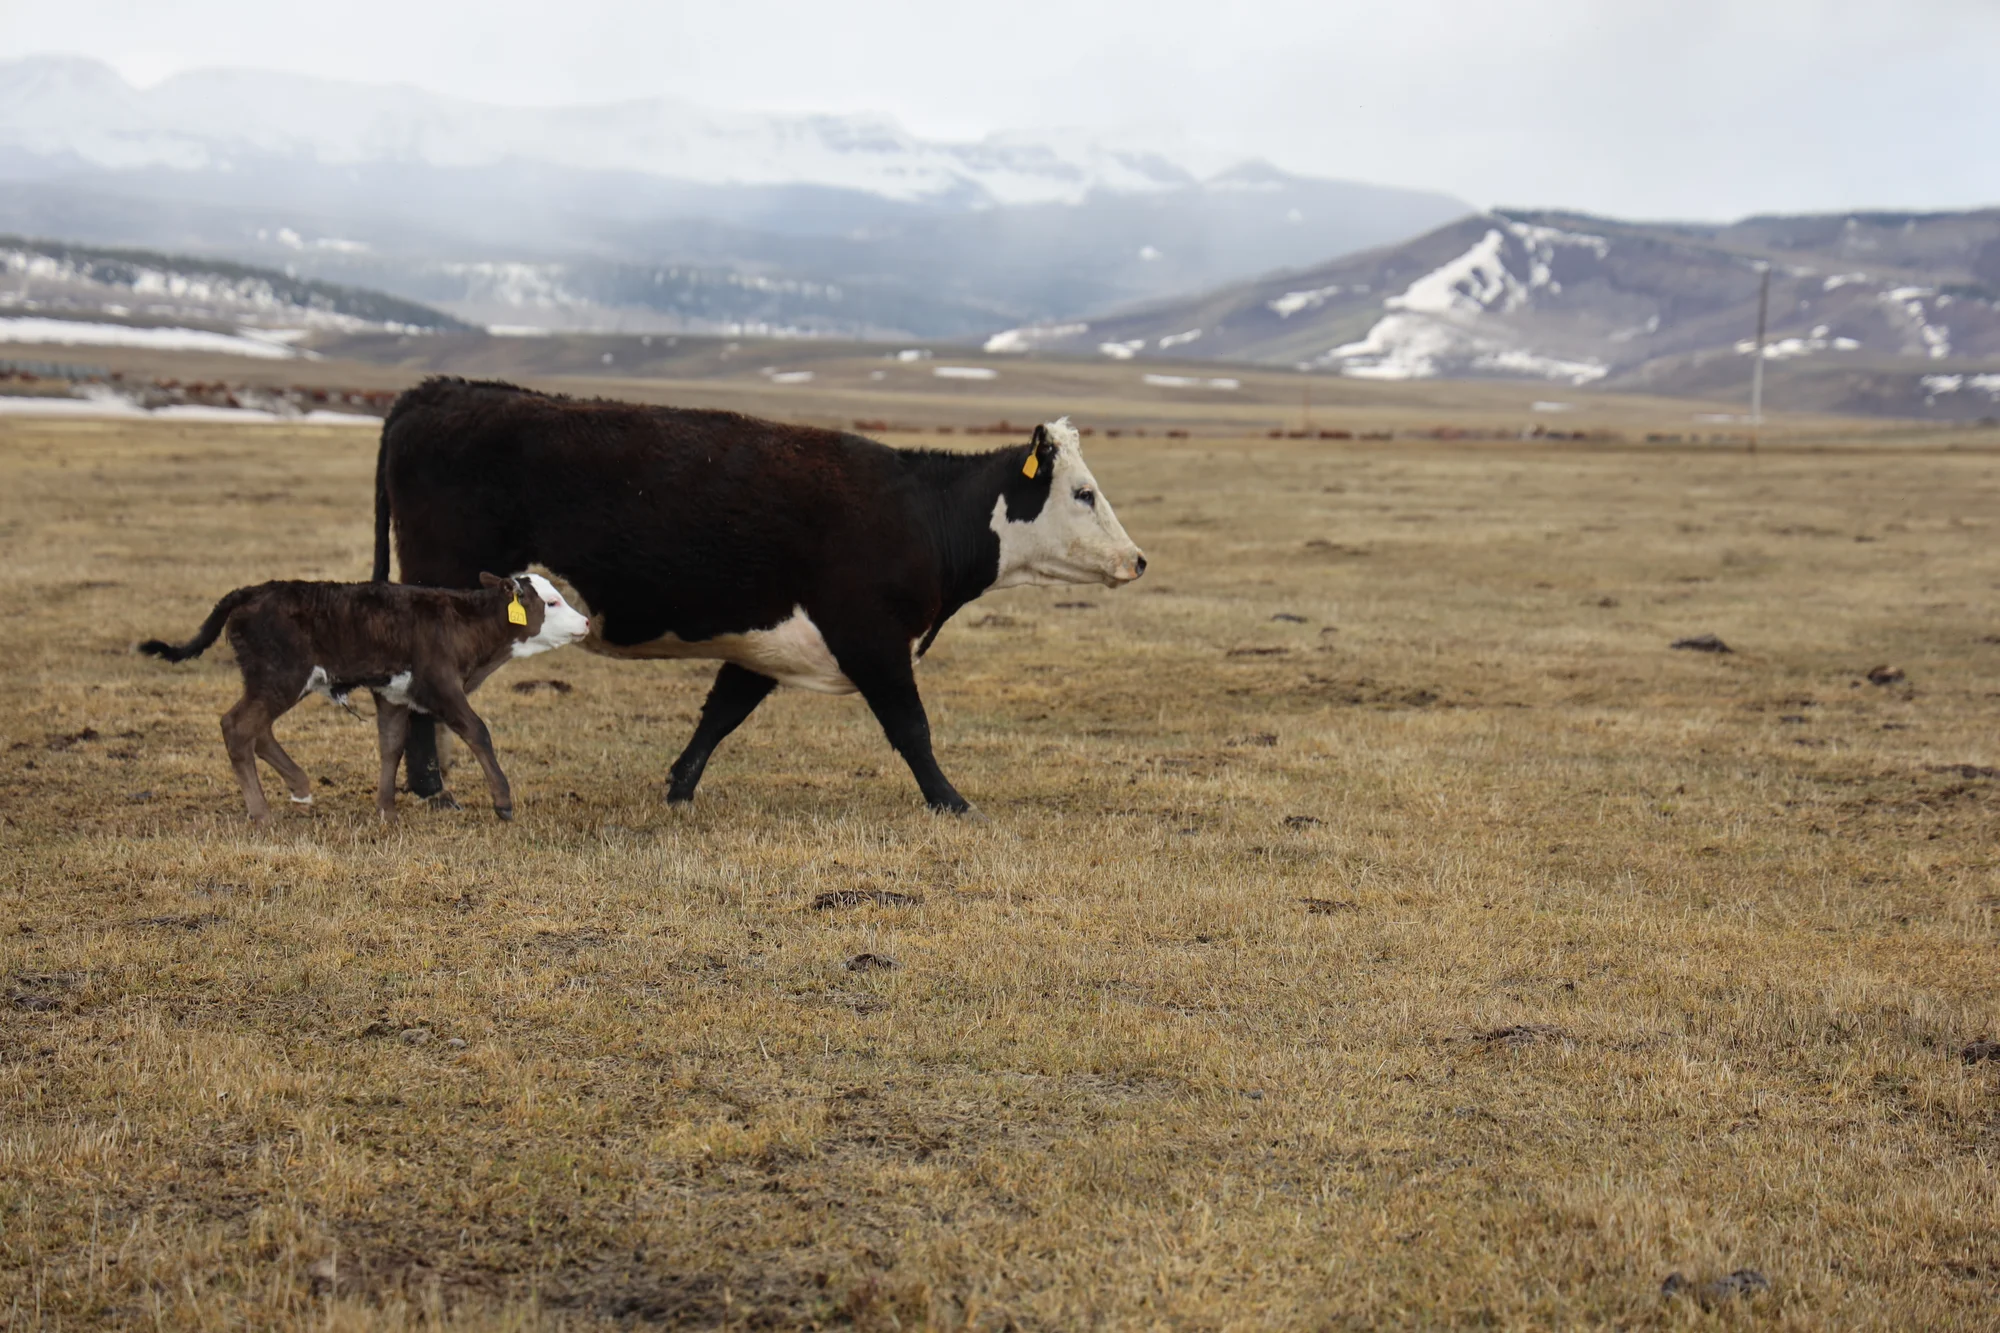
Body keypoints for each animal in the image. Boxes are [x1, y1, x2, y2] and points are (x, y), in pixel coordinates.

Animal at [141, 572, 584, 820]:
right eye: (551, 602)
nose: (584, 622)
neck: (462, 623)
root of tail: (248, 592)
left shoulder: (393, 694)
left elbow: (391, 745)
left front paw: (386, 809)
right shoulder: (440, 685)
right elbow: (477, 732)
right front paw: (503, 802)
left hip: (275, 680)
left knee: (258, 730)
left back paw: (299, 786)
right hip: (280, 676)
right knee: (237, 726)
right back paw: (262, 813)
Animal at [376, 374, 1152, 808]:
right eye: (1084, 493)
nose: (1138, 559)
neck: (920, 512)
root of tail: (440, 391)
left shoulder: (766, 644)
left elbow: (722, 713)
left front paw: (678, 787)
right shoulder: (872, 638)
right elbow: (912, 727)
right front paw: (953, 801)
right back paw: (434, 791)